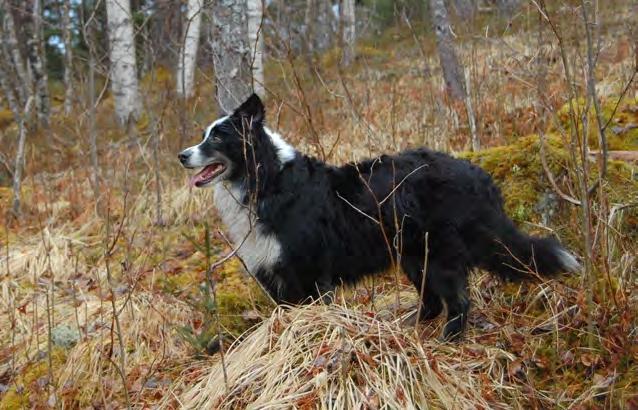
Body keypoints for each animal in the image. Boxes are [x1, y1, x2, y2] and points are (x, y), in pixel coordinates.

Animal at [179, 93, 580, 340]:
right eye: (203, 135)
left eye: (218, 138)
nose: (182, 155)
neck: (266, 182)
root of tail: (477, 173)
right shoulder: (277, 278)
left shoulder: (310, 274)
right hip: (413, 255)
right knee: (432, 302)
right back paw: (407, 330)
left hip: (440, 253)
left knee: (458, 302)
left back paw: (446, 342)